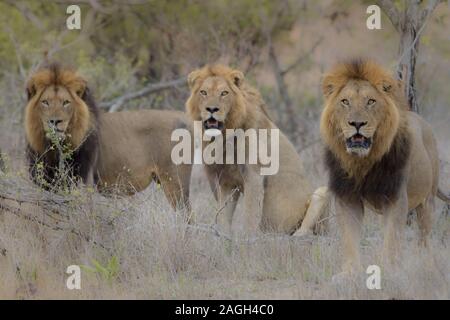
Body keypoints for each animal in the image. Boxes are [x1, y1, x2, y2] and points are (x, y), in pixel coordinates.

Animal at [24, 63, 192, 216]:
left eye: (66, 102)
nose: (54, 121)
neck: (54, 148)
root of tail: (184, 116)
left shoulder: (85, 182)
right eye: (45, 102)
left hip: (175, 181)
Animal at [185, 64, 328, 235]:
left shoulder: (253, 176)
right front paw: (224, 237)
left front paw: (248, 239)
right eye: (203, 92)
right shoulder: (226, 182)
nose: (212, 109)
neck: (224, 135)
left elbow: (250, 216)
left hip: (321, 193)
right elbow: (223, 216)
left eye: (224, 93)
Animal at [318, 59, 448, 278]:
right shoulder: (347, 197)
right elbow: (349, 237)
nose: (357, 123)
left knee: (423, 237)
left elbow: (392, 238)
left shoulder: (395, 197)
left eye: (371, 101)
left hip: (427, 200)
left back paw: (425, 263)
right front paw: (349, 273)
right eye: (345, 101)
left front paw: (389, 270)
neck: (363, 161)